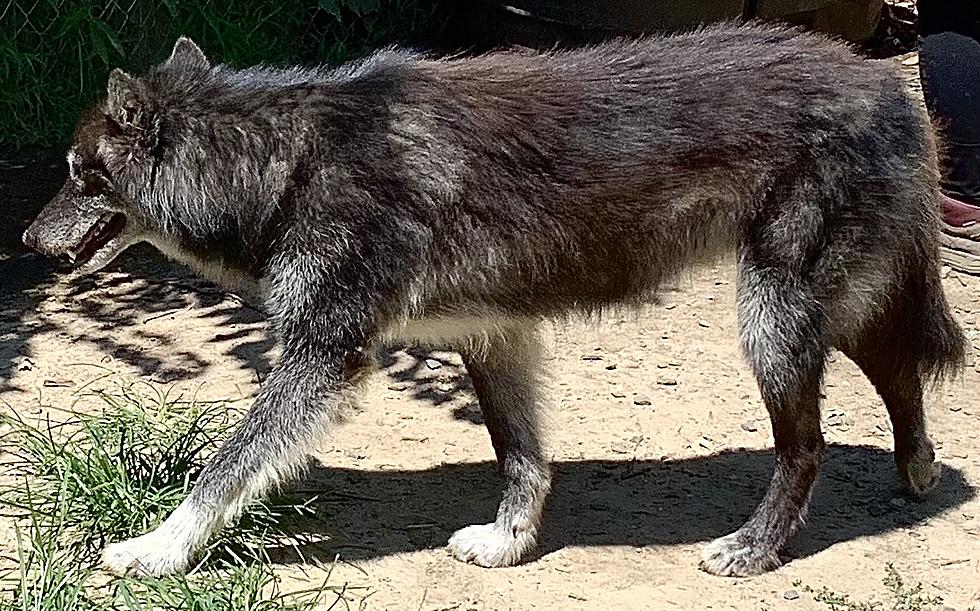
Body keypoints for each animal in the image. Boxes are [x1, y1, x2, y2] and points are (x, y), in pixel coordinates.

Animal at [21, 22, 964, 580]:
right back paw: (918, 469)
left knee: (806, 445)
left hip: (770, 321)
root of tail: (886, 85)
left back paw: (755, 548)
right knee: (900, 368)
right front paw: (510, 542)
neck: (284, 160)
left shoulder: (324, 355)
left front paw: (156, 547)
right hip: (823, 310)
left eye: (76, 174)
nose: (26, 239)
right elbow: (523, 455)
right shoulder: (493, 336)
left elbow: (226, 464)